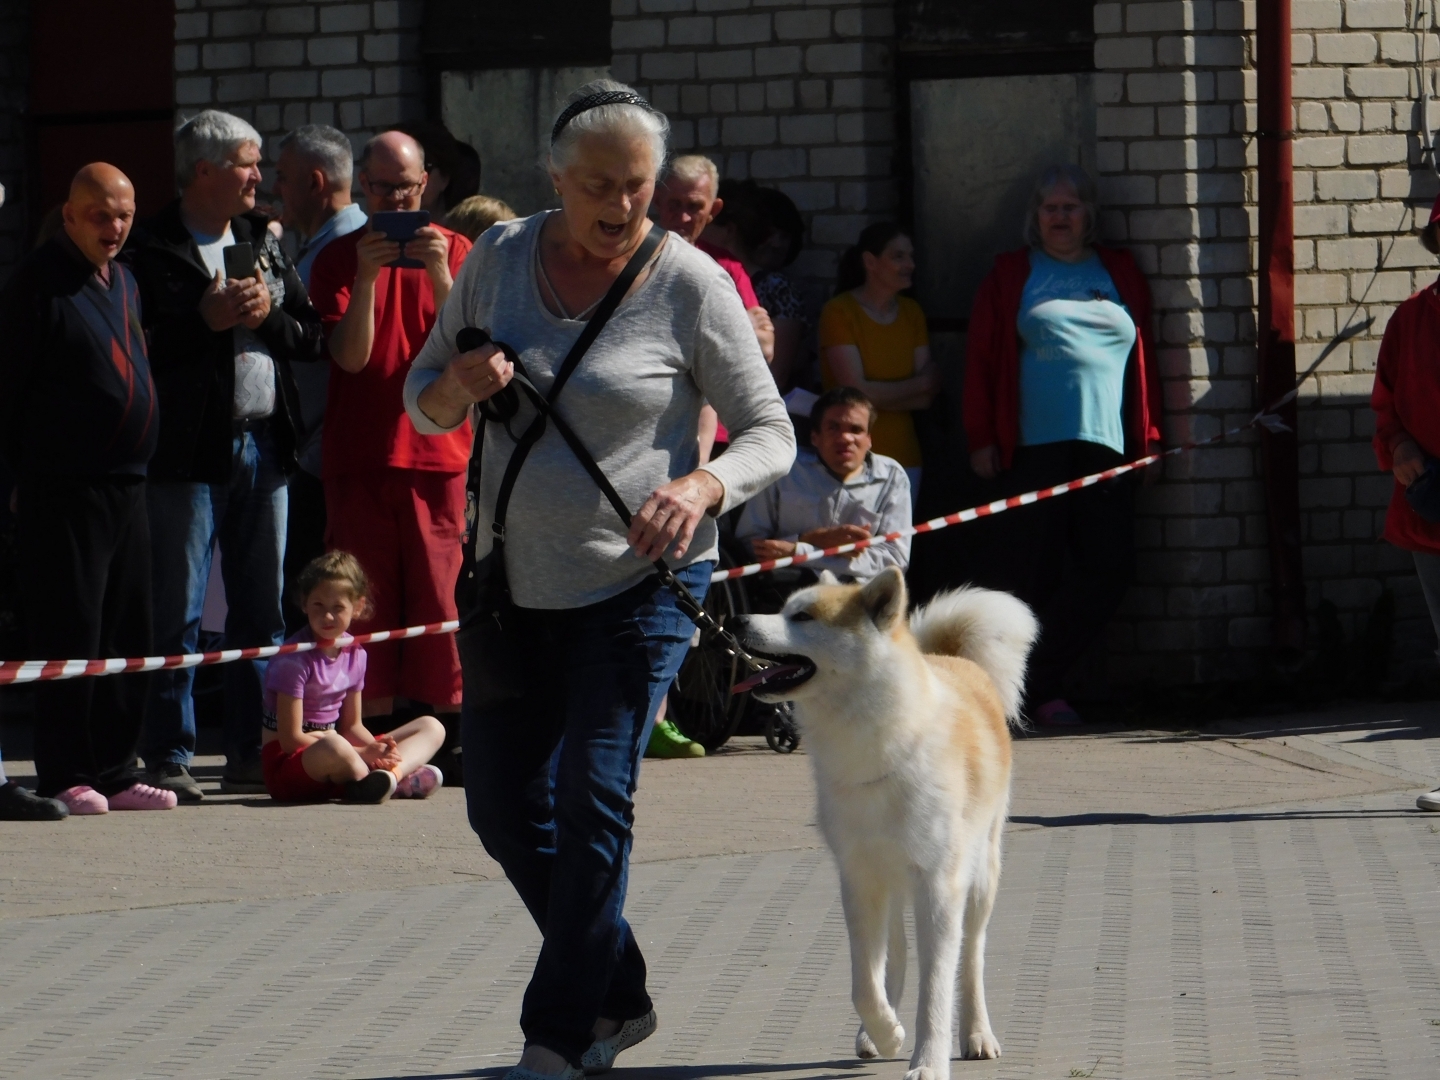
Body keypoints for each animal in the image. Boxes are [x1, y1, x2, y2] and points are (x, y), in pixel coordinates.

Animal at [731, 570, 1036, 1077]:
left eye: (803, 616)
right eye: (785, 608)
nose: (735, 619)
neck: (879, 745)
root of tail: (955, 660)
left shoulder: (939, 886)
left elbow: (937, 985)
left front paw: (929, 1061)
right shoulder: (858, 881)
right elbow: (864, 982)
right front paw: (887, 1031)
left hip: (979, 878)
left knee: (971, 957)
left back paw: (977, 1034)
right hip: (892, 880)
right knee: (896, 953)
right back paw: (878, 1031)